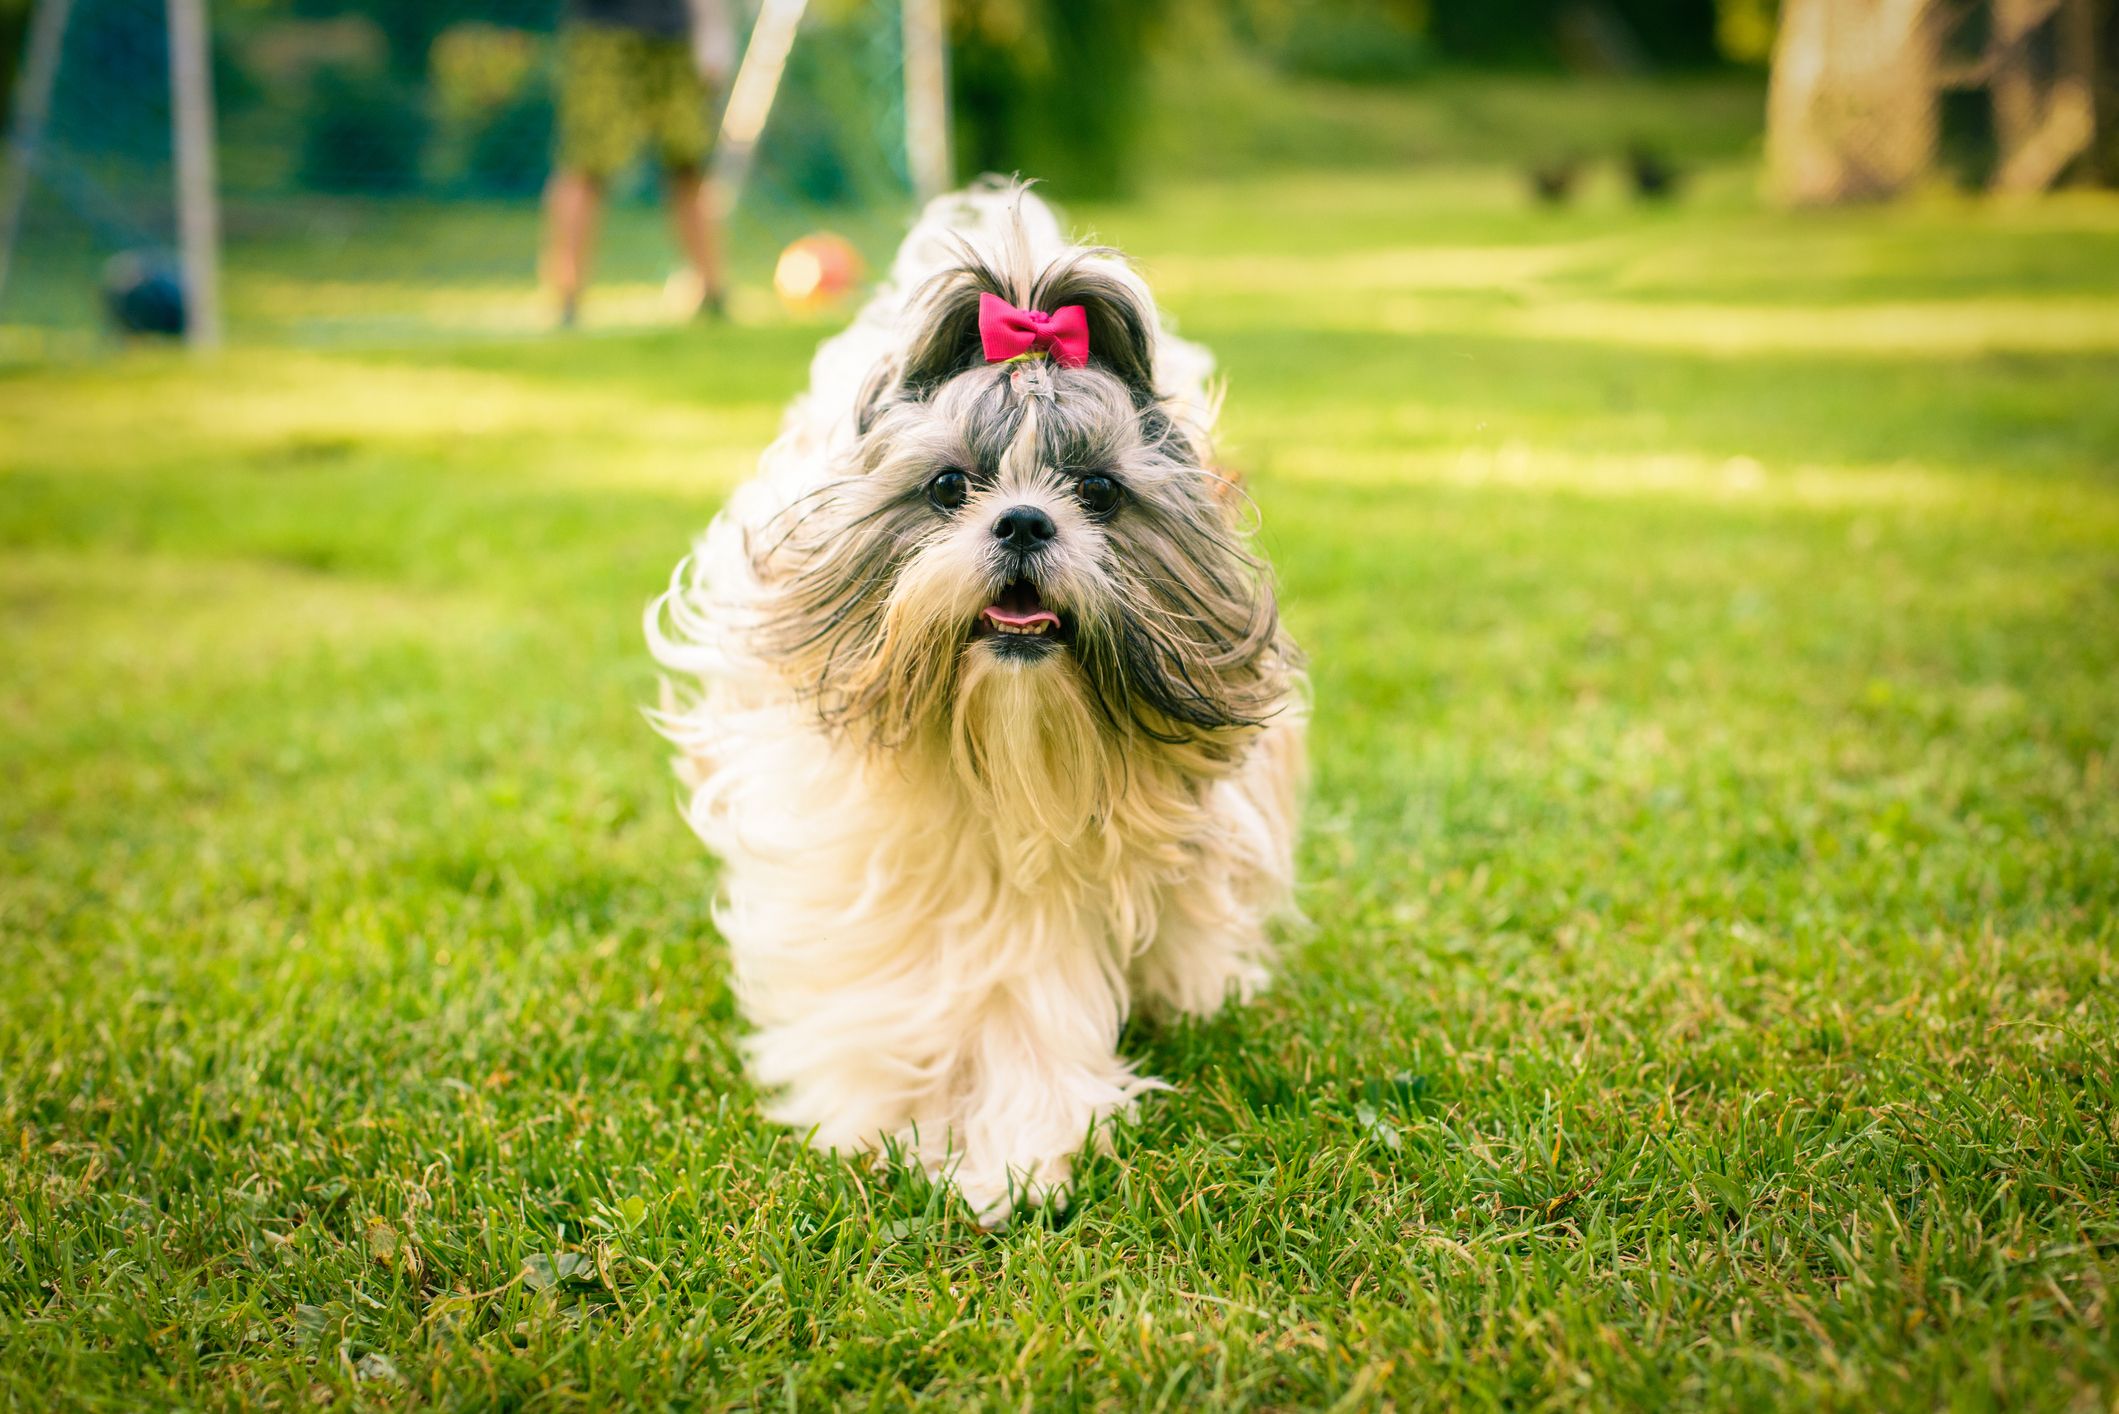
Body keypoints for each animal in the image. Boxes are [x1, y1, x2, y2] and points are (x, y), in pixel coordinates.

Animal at [648, 180, 1305, 1229]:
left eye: (1099, 491)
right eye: (950, 485)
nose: (1026, 520)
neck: (1005, 753)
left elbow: (1031, 1015)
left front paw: (1012, 1157)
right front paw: (884, 1120)